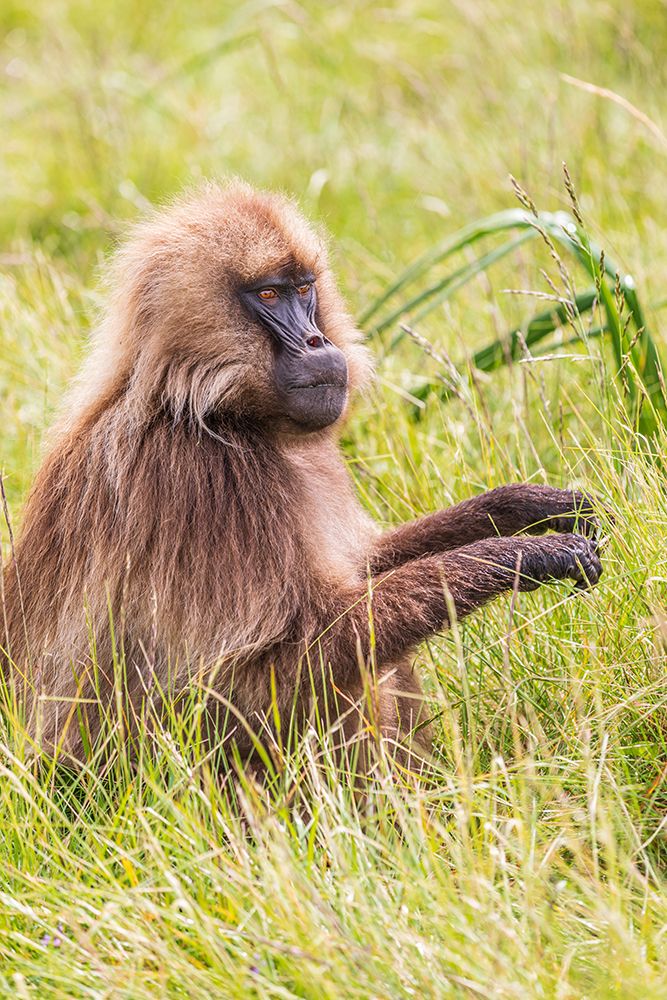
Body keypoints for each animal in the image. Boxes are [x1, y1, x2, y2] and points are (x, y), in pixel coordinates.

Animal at [0, 180, 603, 771]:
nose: (318, 343)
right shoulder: (201, 477)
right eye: (268, 295)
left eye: (304, 289)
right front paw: (523, 556)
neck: (206, 405)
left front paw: (521, 508)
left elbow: (361, 568)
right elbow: (252, 679)